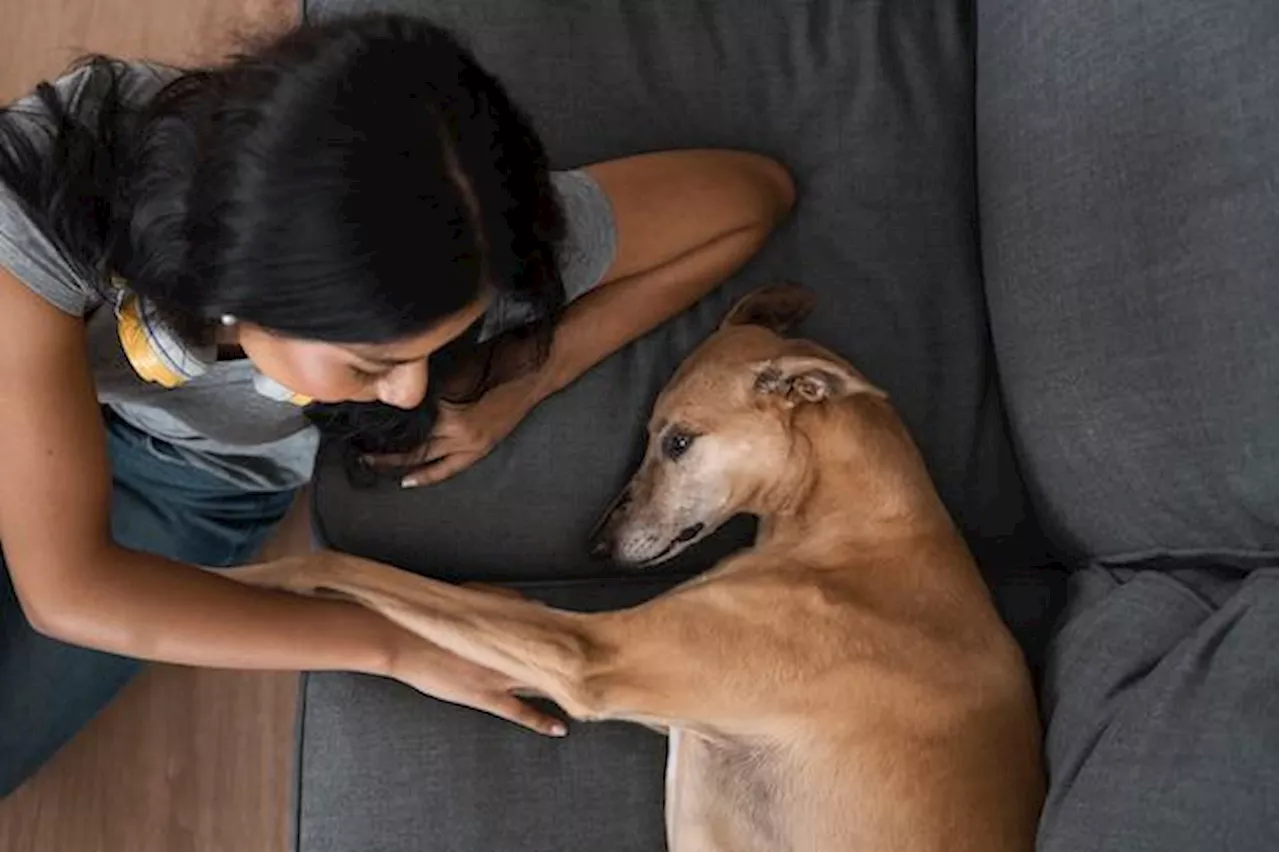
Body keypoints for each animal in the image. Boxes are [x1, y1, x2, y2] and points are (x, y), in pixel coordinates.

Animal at [235, 286, 1044, 849]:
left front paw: (248, 582)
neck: (856, 528)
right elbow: (455, 600)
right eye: (651, 433)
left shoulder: (595, 656)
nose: (595, 549)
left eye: (678, 441)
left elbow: (363, 568)